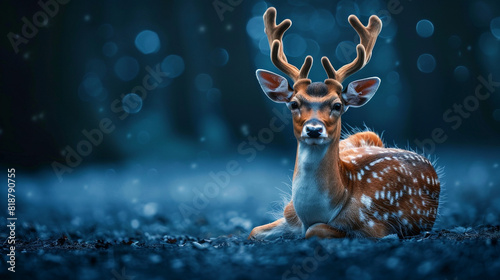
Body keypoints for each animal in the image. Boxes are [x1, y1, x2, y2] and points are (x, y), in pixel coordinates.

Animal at [248, 7, 440, 238]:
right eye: (294, 103)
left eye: (337, 105)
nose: (314, 130)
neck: (313, 213)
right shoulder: (288, 212)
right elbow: (254, 231)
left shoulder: (374, 226)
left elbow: (314, 230)